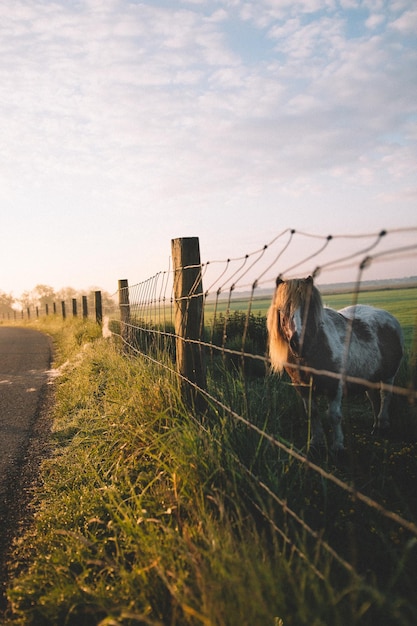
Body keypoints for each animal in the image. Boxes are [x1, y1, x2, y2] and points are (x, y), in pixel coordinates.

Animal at [266, 276, 404, 450]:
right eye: (281, 309)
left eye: (310, 306)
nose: (299, 343)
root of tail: (390, 318)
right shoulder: (302, 388)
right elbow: (312, 413)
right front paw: (316, 441)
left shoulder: (335, 386)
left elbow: (334, 415)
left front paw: (338, 445)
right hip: (369, 377)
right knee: (374, 398)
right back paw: (375, 426)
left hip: (388, 376)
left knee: (385, 396)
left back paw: (382, 425)